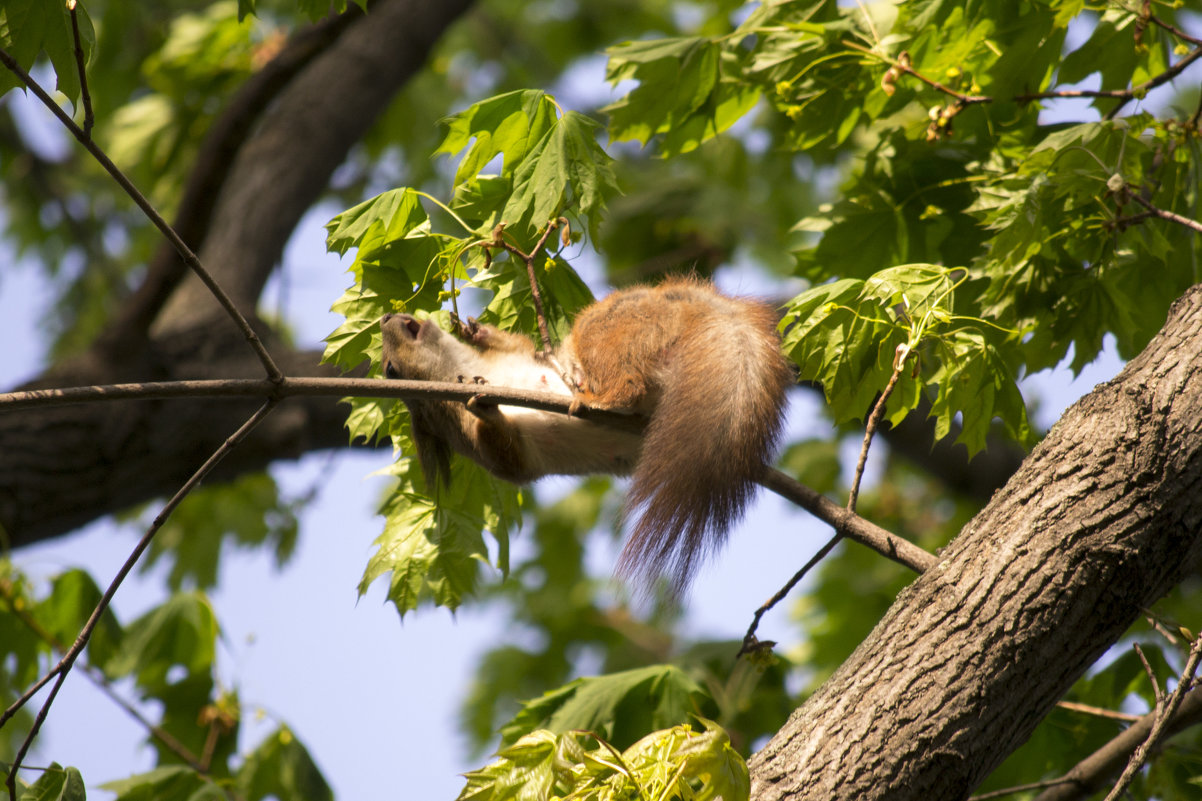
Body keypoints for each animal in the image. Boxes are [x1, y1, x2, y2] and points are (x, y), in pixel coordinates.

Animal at [379, 274, 793, 591]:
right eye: (389, 371)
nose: (385, 315)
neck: (463, 371)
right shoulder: (479, 443)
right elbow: (509, 458)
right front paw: (483, 409)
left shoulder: (528, 357)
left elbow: (521, 345)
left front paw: (476, 330)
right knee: (632, 383)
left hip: (605, 328)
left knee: (622, 376)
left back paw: (596, 397)